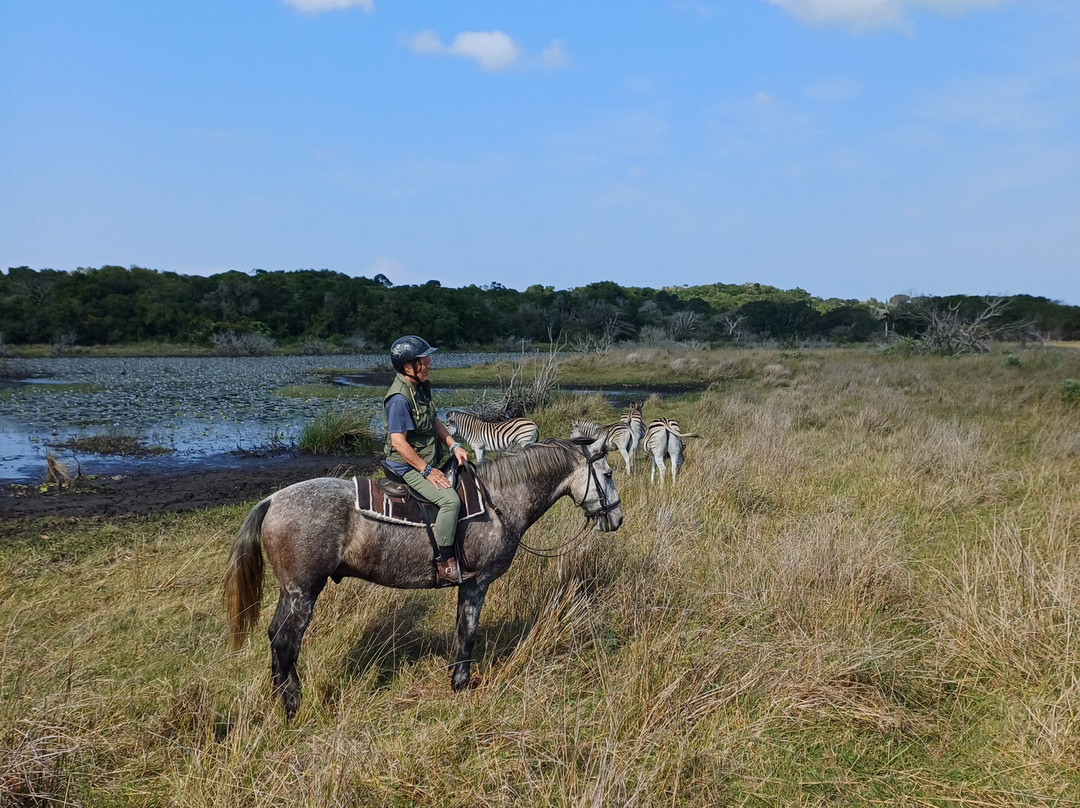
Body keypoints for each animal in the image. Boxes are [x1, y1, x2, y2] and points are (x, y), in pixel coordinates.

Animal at [224, 435, 622, 719]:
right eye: (607, 474)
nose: (617, 519)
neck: (497, 503)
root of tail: (273, 500)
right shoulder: (476, 584)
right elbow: (468, 634)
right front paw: (461, 685)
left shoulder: (467, 585)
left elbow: (461, 632)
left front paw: (456, 679)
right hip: (304, 591)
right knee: (286, 643)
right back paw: (293, 707)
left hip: (291, 591)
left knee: (277, 638)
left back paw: (285, 698)